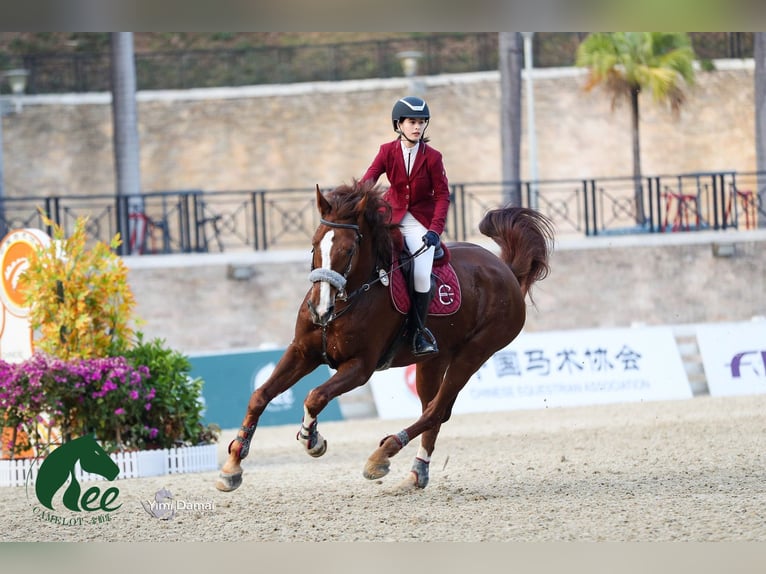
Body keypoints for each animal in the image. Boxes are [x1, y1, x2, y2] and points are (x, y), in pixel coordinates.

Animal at [216, 182, 552, 492]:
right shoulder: (302, 353)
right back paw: (417, 473)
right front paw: (232, 465)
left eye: (348, 251)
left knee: (436, 410)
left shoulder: (360, 367)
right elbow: (260, 395)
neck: (347, 298)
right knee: (434, 411)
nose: (319, 310)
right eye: (314, 245)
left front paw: (312, 439)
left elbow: (316, 396)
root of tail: (505, 270)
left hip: (473, 354)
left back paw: (381, 455)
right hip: (432, 360)